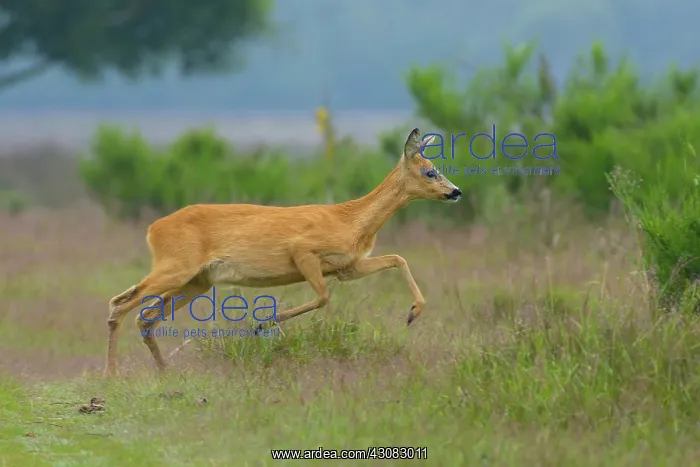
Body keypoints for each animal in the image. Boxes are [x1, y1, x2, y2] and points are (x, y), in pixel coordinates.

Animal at [104, 128, 462, 378]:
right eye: (430, 171)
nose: (456, 191)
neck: (350, 220)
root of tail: (153, 229)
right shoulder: (303, 250)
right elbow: (322, 297)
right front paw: (264, 323)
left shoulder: (348, 268)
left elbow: (397, 259)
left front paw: (413, 313)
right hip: (175, 267)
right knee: (119, 304)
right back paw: (111, 376)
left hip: (196, 281)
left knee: (144, 316)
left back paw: (165, 372)